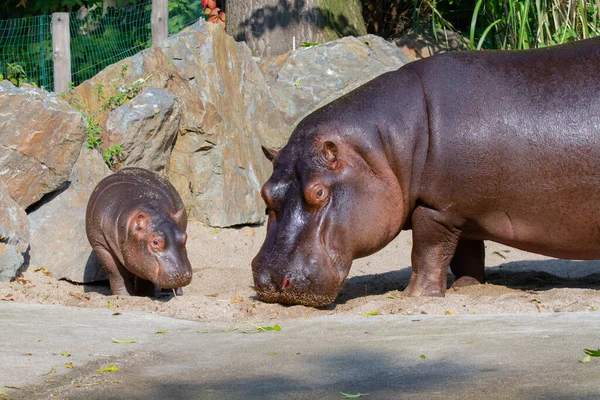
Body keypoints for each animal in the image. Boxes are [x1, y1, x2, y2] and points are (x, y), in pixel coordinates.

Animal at [84, 167, 191, 296]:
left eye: (185, 237)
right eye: (155, 242)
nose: (183, 275)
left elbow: (144, 275)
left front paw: (144, 294)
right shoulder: (101, 245)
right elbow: (116, 273)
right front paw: (124, 295)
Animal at [251, 37, 600, 306]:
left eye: (320, 192)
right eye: (265, 192)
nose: (271, 281)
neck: (384, 148)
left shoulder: (437, 210)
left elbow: (426, 253)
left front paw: (416, 296)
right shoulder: (463, 214)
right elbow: (466, 256)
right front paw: (467, 289)